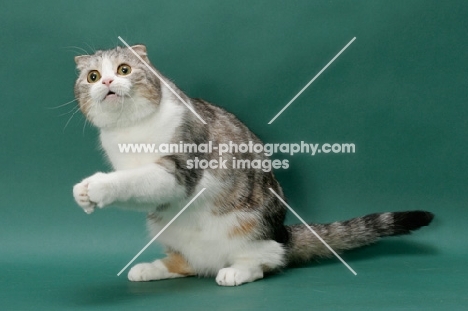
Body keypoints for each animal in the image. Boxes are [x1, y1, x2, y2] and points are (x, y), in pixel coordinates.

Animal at [71, 44, 434, 288]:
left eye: (123, 70)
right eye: (92, 76)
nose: (105, 83)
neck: (131, 129)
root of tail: (283, 232)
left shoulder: (180, 168)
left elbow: (138, 179)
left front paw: (96, 186)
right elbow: (138, 182)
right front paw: (86, 194)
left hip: (250, 228)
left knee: (269, 260)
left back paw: (235, 271)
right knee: (188, 264)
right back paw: (151, 268)